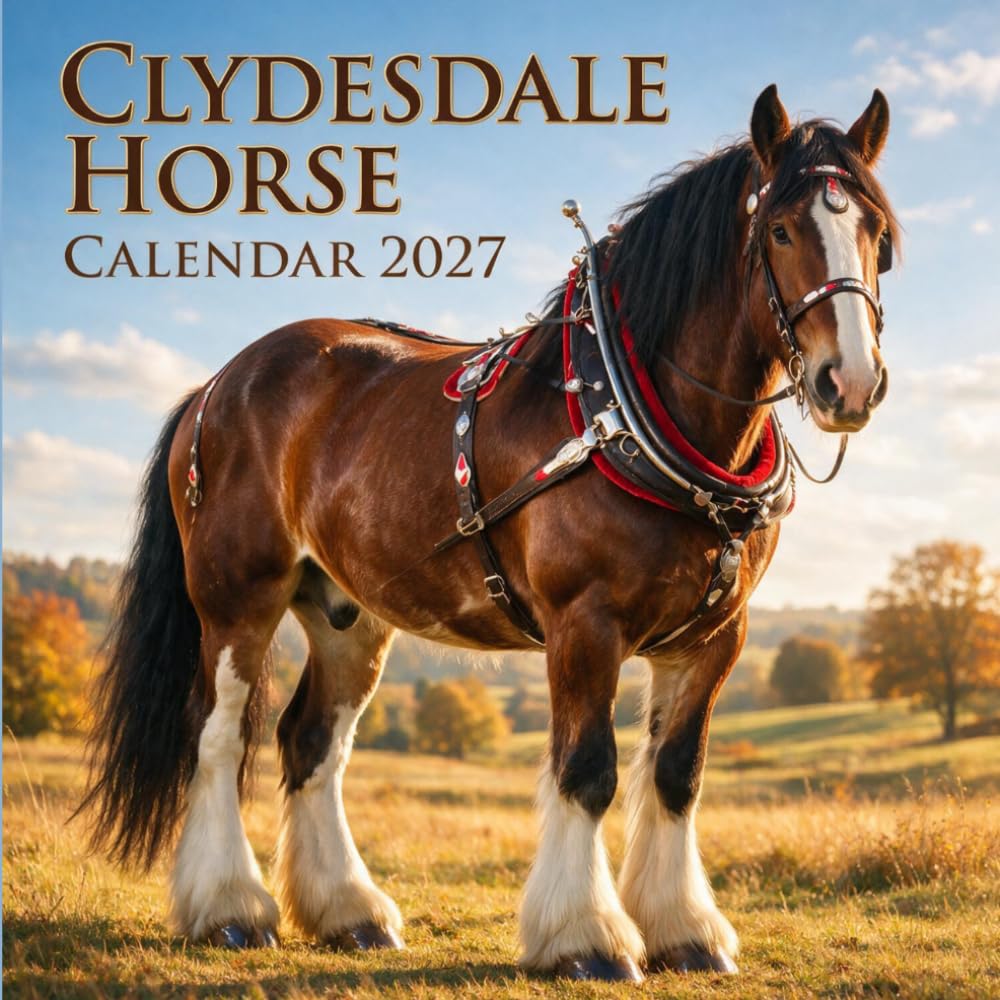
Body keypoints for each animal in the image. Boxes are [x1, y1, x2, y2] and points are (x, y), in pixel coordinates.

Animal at [78, 84, 898, 982]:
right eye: (780, 229)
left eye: (877, 236)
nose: (851, 382)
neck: (634, 413)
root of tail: (217, 383)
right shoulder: (584, 624)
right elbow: (588, 771)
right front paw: (585, 937)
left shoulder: (715, 636)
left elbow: (677, 776)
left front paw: (683, 929)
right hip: (236, 600)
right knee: (219, 737)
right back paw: (230, 909)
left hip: (348, 617)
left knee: (312, 744)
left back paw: (349, 912)